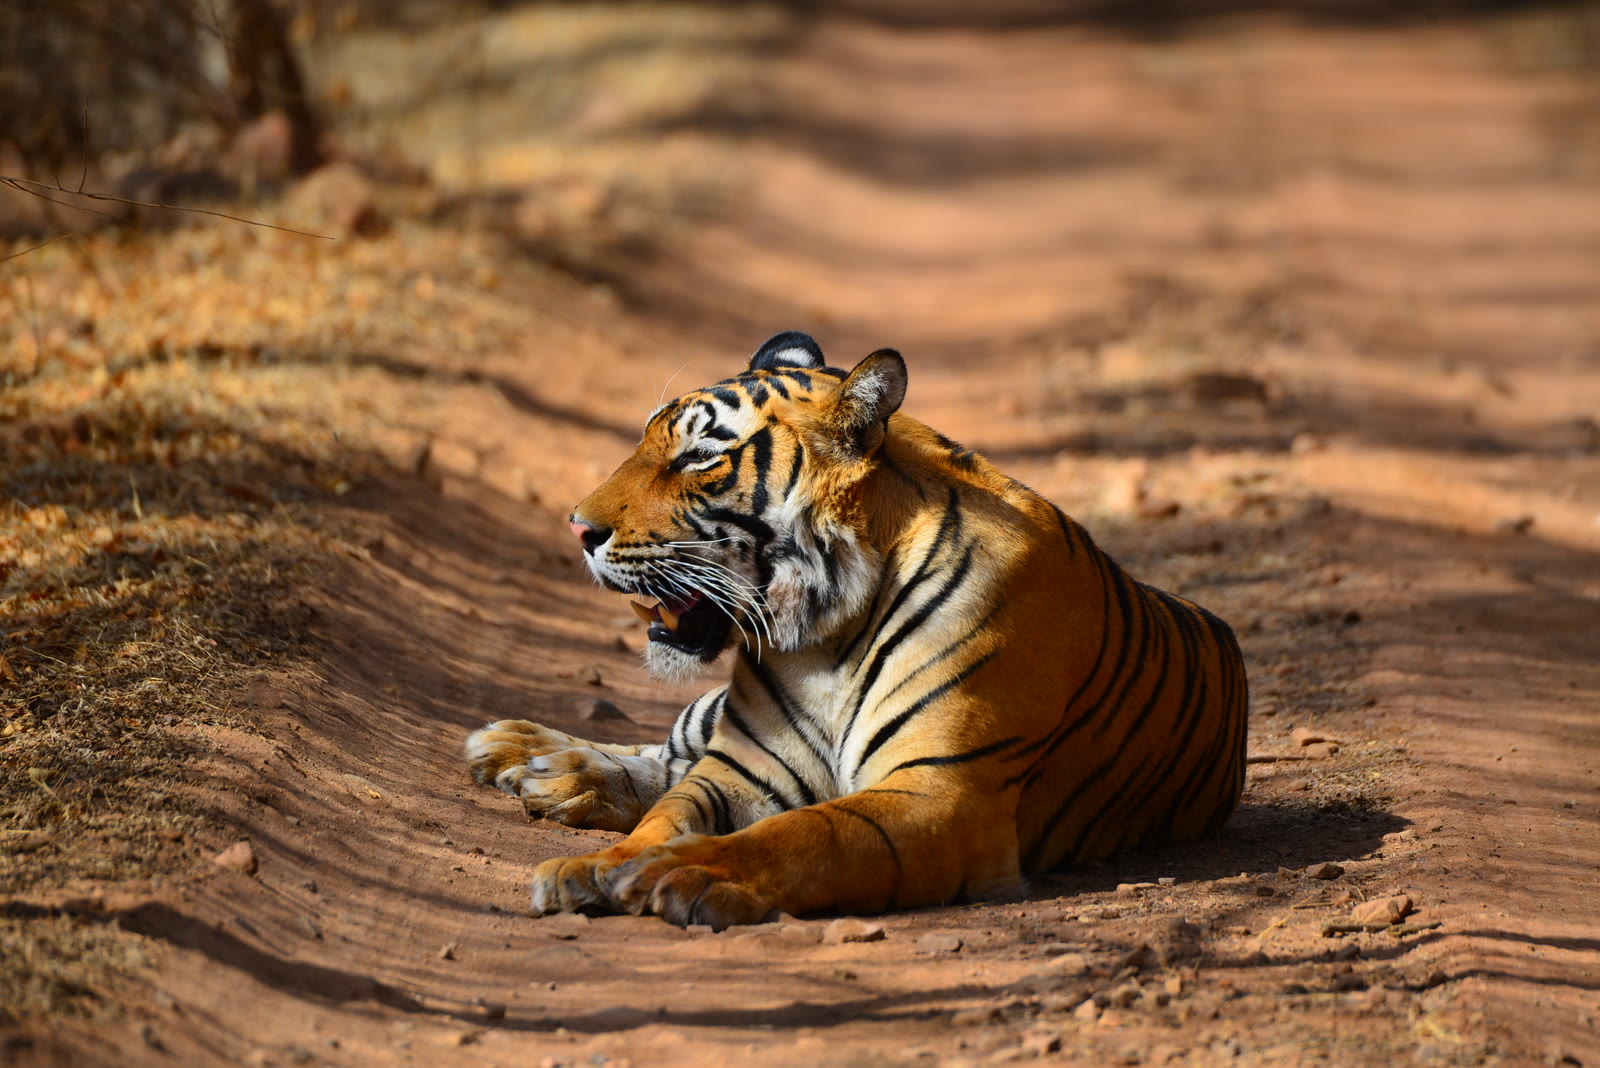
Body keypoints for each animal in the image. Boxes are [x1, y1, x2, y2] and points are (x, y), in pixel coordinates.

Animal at [465, 331, 1248, 929]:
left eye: (698, 457)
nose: (577, 529)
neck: (825, 636)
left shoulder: (940, 793)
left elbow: (804, 832)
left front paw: (684, 876)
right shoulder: (742, 766)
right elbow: (668, 812)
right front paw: (598, 867)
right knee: (669, 749)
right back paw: (527, 755)